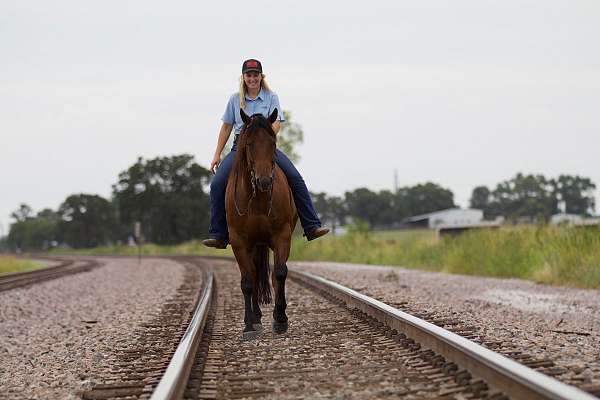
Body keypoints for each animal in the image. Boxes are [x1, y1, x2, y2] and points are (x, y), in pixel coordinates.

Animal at [225, 108, 298, 340]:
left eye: (273, 143)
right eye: (249, 144)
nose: (264, 181)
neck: (257, 199)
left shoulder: (282, 236)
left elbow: (280, 273)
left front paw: (280, 318)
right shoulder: (239, 242)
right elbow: (247, 281)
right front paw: (248, 326)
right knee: (254, 275)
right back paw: (255, 319)